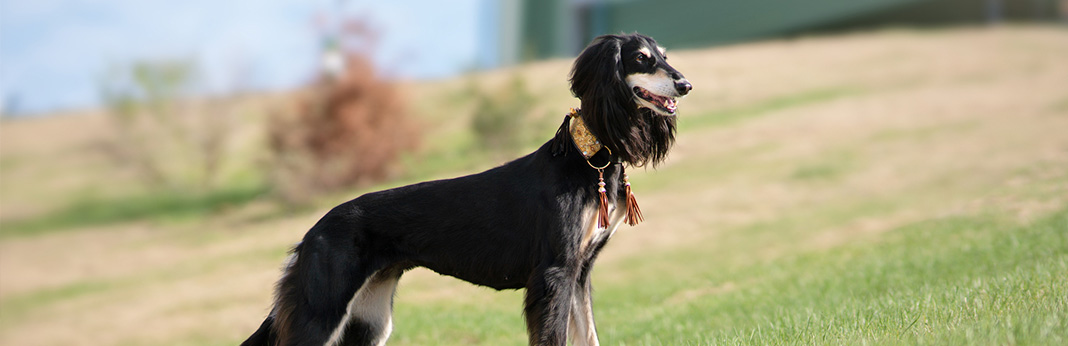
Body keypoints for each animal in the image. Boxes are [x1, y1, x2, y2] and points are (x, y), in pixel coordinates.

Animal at [242, 33, 692, 346]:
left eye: (665, 55)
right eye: (641, 58)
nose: (685, 84)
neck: (587, 155)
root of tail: (312, 233)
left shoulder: (580, 273)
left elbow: (590, 336)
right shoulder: (554, 273)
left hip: (368, 319)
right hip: (322, 310)